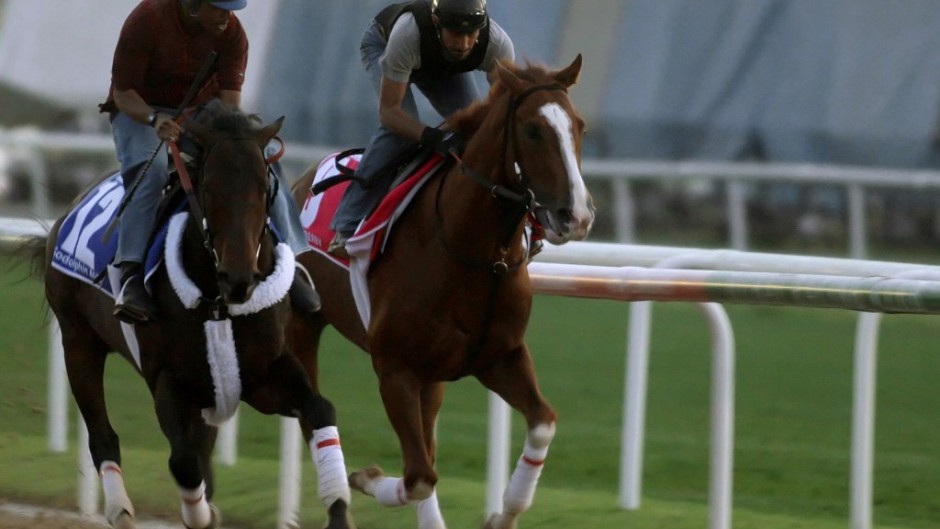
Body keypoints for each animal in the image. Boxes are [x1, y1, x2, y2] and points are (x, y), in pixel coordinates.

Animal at [18, 101, 356, 528]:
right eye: (209, 188)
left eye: (265, 189)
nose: (239, 277)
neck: (219, 303)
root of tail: (66, 213)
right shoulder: (170, 380)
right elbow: (184, 461)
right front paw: (203, 513)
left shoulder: (265, 373)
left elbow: (319, 410)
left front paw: (339, 508)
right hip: (78, 341)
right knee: (103, 434)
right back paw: (119, 508)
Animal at [292, 55, 596, 524]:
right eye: (532, 130)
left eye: (579, 126)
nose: (576, 215)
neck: (477, 254)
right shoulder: (394, 368)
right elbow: (419, 476)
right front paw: (366, 476)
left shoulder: (500, 356)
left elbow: (542, 423)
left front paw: (504, 514)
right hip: (301, 325)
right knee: (314, 416)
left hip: (432, 373)